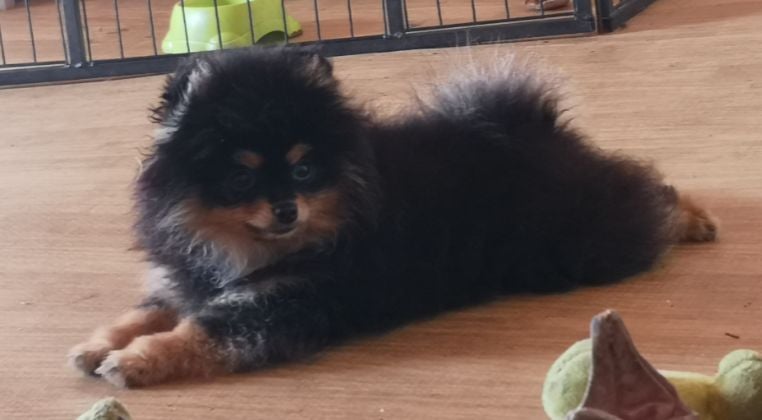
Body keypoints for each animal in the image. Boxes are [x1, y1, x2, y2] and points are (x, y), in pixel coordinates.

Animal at [69, 47, 717, 387]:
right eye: (242, 177)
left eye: (305, 170)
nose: (286, 209)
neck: (252, 250)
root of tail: (530, 124)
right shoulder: (185, 276)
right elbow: (146, 310)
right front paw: (98, 344)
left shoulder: (286, 300)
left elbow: (202, 330)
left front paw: (136, 361)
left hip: (584, 244)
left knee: (651, 200)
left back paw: (693, 220)